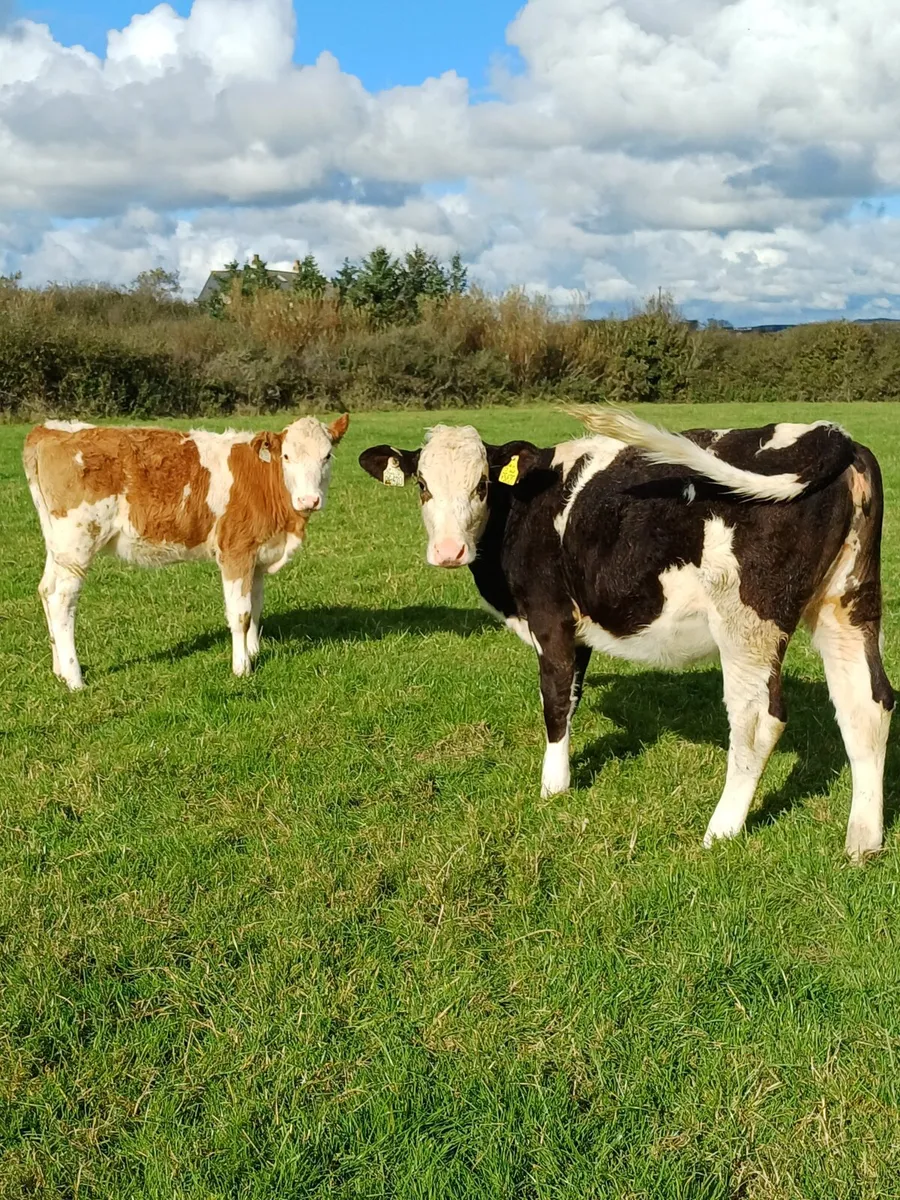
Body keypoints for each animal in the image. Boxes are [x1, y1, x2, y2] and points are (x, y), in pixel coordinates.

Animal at [24, 413, 349, 687]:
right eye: (286, 456)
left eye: (327, 456)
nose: (309, 500)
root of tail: (50, 429)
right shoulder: (235, 552)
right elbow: (240, 614)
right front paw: (241, 667)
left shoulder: (256, 556)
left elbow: (256, 607)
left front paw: (254, 652)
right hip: (77, 543)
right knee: (61, 601)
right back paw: (74, 678)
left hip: (57, 547)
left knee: (45, 590)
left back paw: (58, 670)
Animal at [359, 410, 893, 860]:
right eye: (423, 484)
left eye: (483, 484)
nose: (449, 550)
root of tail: (829, 435)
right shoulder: (580, 631)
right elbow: (573, 696)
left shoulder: (550, 618)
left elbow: (555, 700)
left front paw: (553, 788)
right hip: (848, 602)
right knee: (867, 704)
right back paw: (862, 841)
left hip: (749, 619)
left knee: (759, 719)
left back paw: (720, 830)